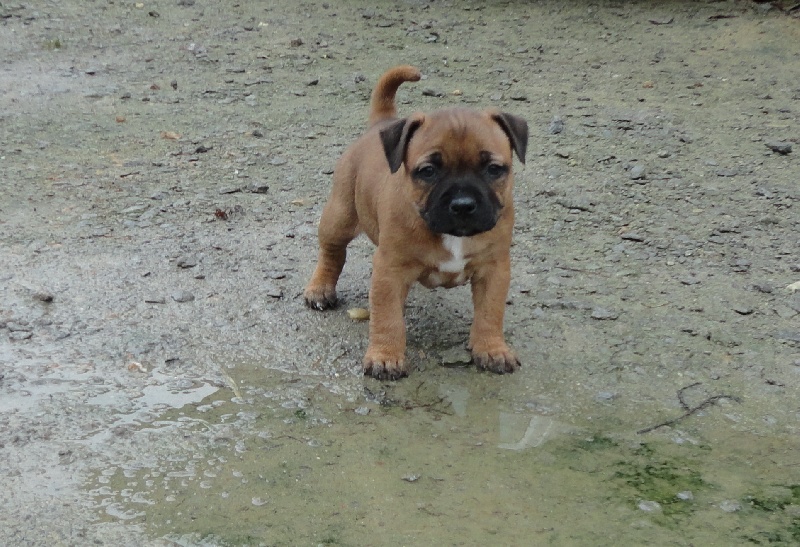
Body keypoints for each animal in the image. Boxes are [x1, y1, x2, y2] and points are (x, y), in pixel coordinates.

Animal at [304, 65, 528, 382]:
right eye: (428, 171)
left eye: (494, 169)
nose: (462, 204)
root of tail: (381, 123)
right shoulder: (389, 270)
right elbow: (388, 318)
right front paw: (386, 357)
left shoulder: (493, 269)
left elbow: (490, 313)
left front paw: (491, 348)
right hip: (340, 215)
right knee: (332, 251)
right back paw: (320, 289)